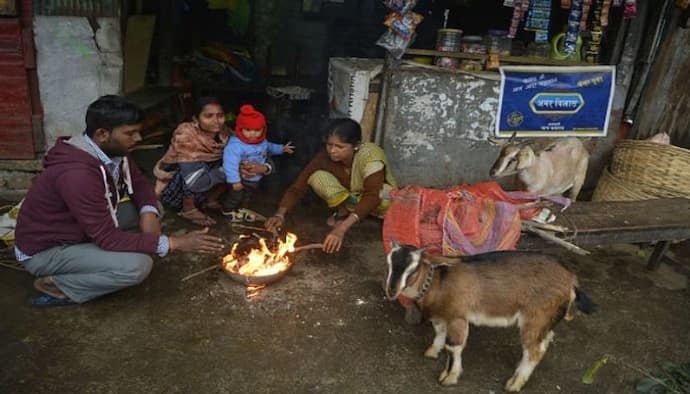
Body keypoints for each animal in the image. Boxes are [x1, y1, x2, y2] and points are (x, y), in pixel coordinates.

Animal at [384, 242, 592, 392]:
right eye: (389, 264)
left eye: (414, 268)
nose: (392, 290)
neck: (439, 282)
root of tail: (571, 279)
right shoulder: (442, 316)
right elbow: (440, 335)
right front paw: (433, 352)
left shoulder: (458, 317)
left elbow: (454, 347)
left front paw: (449, 377)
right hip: (546, 318)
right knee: (544, 341)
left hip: (535, 316)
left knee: (533, 350)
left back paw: (514, 384)